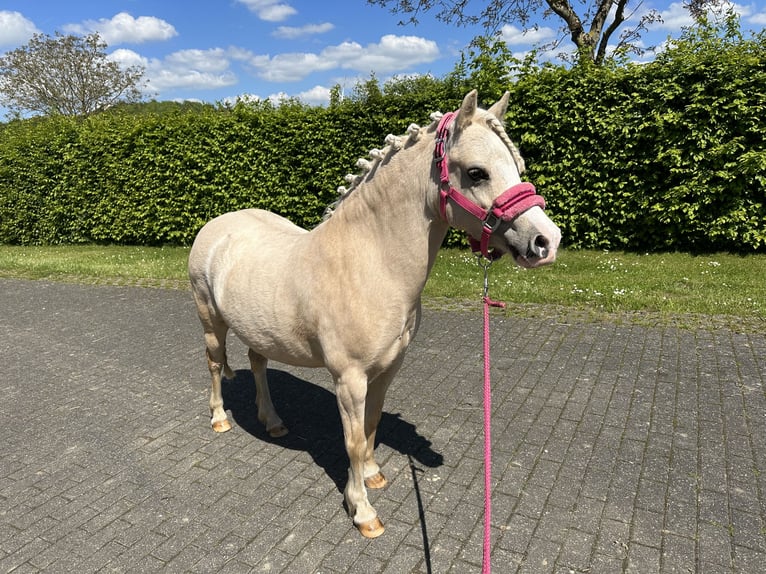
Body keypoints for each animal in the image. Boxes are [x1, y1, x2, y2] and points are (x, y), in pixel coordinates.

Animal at [190, 90, 564, 540]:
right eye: (477, 173)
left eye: (517, 166)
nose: (546, 241)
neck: (369, 263)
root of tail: (216, 225)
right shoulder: (349, 379)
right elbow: (351, 440)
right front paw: (363, 511)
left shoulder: (387, 369)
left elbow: (371, 425)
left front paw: (372, 475)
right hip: (211, 321)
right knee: (214, 364)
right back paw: (219, 419)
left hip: (258, 329)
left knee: (258, 364)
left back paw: (273, 421)